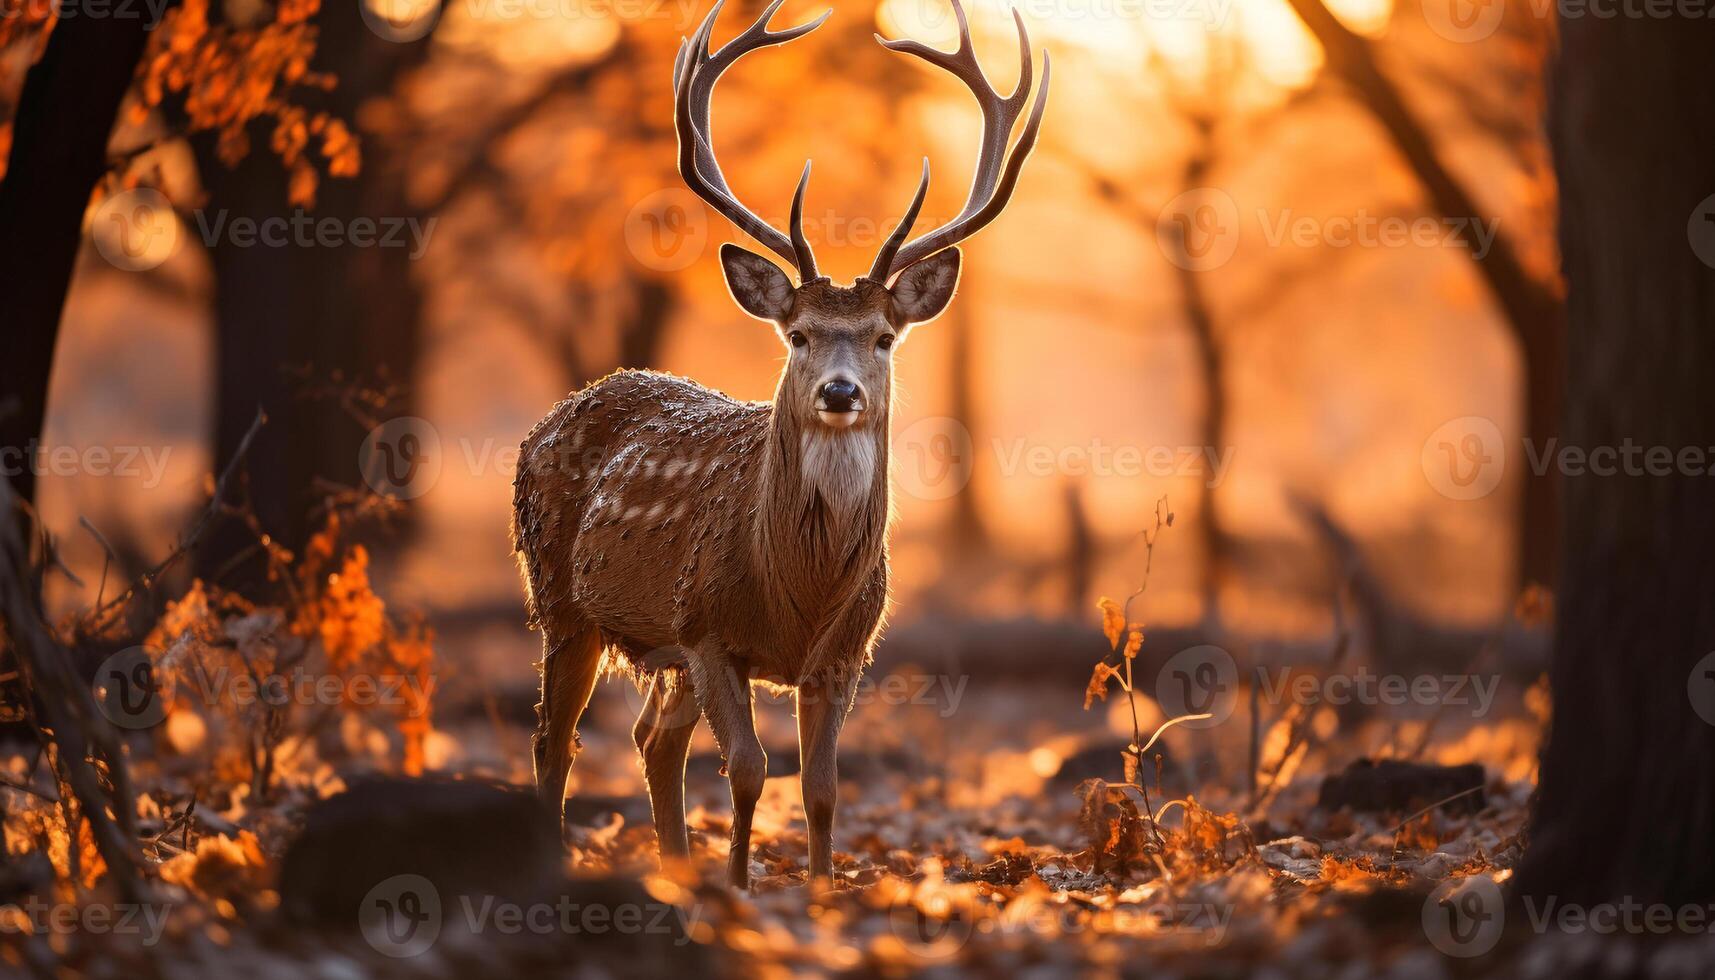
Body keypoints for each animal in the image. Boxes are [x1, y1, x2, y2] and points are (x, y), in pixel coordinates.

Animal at [507, 0, 1042, 892]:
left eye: (884, 337)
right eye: (797, 333)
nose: (840, 392)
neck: (802, 587)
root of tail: (552, 415)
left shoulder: (845, 653)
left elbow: (821, 786)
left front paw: (817, 891)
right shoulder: (708, 627)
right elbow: (751, 769)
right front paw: (741, 886)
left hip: (657, 644)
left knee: (652, 739)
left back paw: (676, 869)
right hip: (560, 598)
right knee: (556, 738)